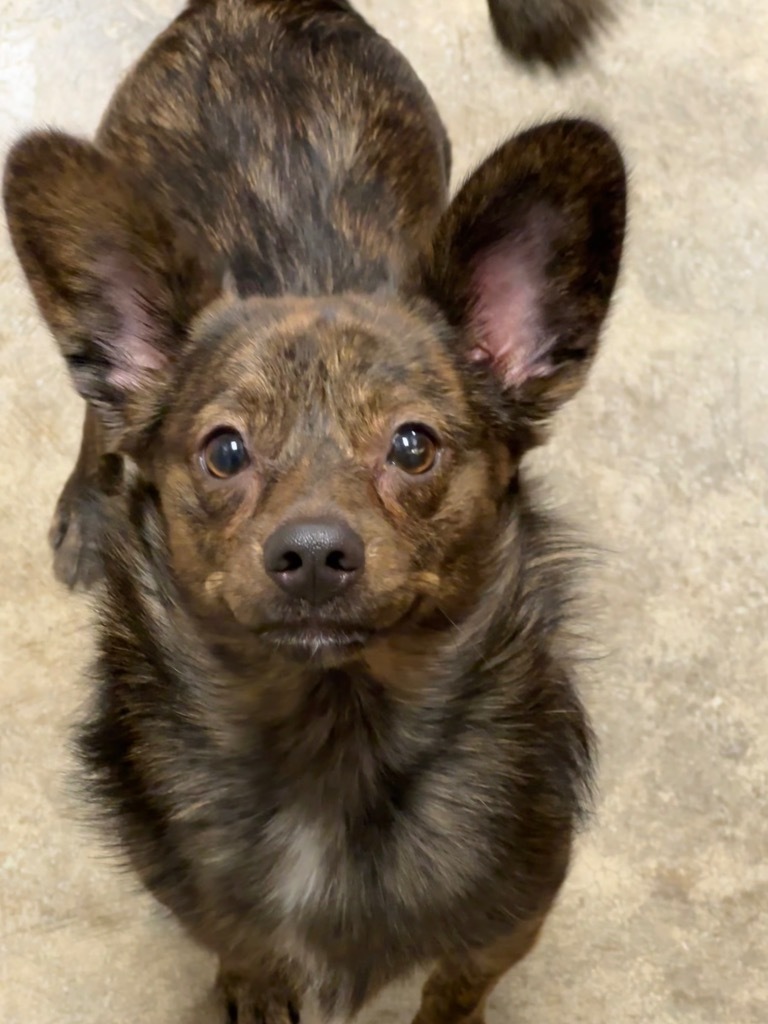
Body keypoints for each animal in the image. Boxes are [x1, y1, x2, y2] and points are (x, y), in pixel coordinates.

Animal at [3, 2, 626, 1024]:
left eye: (413, 446)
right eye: (223, 452)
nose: (312, 554)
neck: (334, 746)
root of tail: (258, 10)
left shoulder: (503, 929)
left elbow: (452, 991)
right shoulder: (208, 904)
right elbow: (245, 946)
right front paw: (254, 992)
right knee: (101, 412)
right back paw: (89, 509)